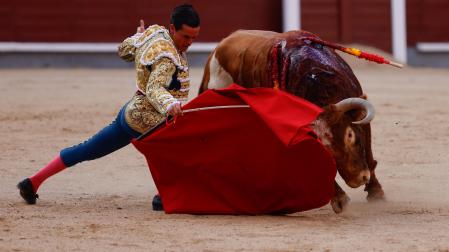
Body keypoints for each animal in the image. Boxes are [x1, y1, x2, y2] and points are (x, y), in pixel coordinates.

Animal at [200, 30, 384, 215]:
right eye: (324, 147)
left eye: (350, 135)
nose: (358, 179)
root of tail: (219, 47)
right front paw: (339, 199)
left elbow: (368, 153)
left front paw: (376, 192)